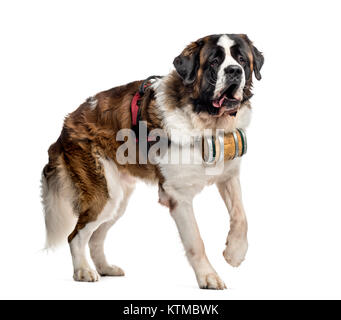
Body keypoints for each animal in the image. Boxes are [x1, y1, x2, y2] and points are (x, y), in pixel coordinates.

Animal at [40, 33, 262, 288]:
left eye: (242, 60)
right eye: (214, 62)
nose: (234, 71)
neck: (206, 122)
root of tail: (65, 126)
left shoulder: (228, 175)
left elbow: (241, 215)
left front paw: (235, 253)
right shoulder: (178, 196)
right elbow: (196, 240)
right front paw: (208, 276)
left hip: (118, 199)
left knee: (95, 236)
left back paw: (105, 268)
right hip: (103, 194)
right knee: (75, 235)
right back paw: (83, 271)